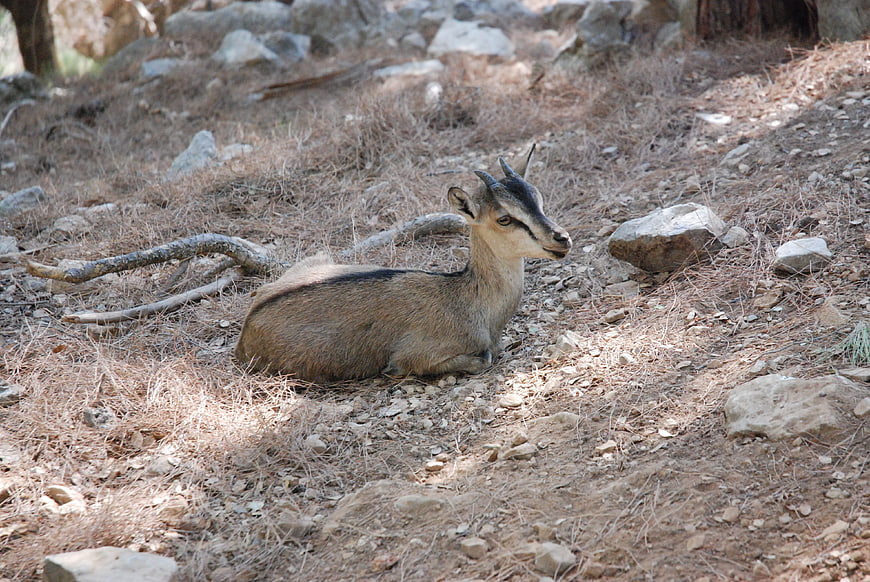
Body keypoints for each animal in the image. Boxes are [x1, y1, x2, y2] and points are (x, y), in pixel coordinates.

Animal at [235, 146, 571, 383]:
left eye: (538, 198)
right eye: (504, 218)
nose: (562, 238)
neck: (468, 300)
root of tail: (246, 331)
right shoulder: (417, 355)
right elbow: (482, 359)